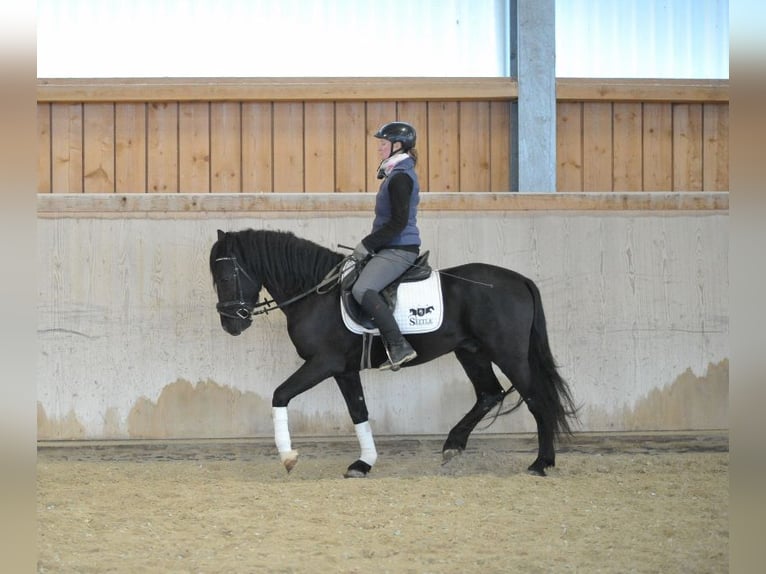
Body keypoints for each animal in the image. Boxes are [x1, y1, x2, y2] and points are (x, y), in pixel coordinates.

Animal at [210, 228, 576, 476]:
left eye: (225, 275)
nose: (230, 324)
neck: (315, 294)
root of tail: (519, 280)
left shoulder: (324, 363)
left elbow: (280, 394)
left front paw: (287, 457)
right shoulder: (344, 369)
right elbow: (359, 412)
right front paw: (363, 463)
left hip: (508, 353)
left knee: (536, 399)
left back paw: (541, 463)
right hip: (471, 351)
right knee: (489, 394)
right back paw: (453, 446)